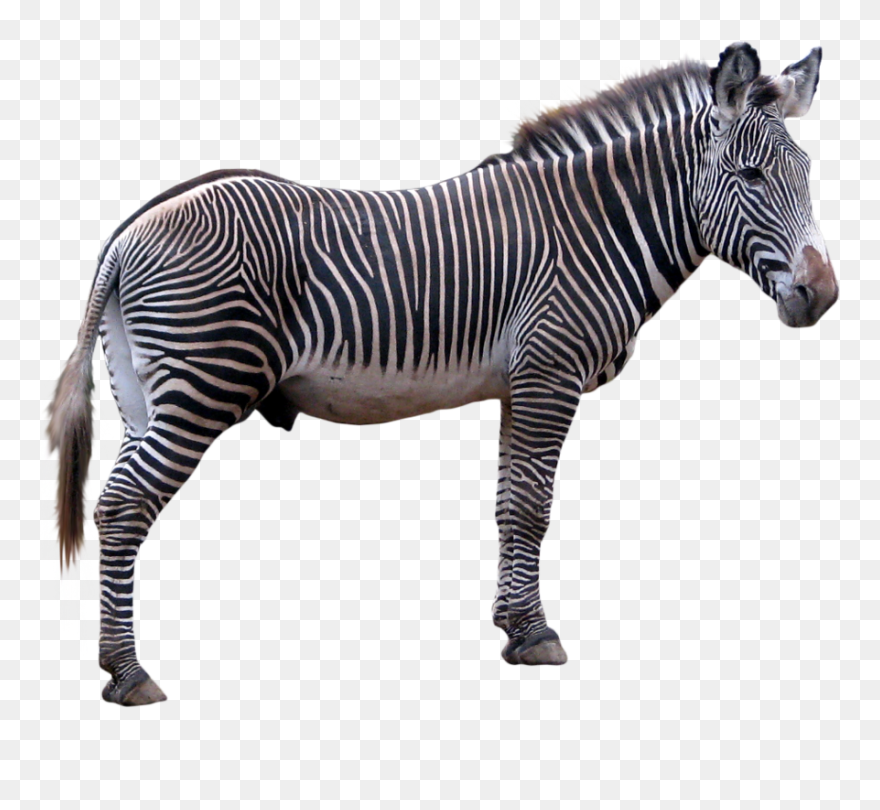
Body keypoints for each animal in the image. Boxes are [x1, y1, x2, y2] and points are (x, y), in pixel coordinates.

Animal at [48, 43, 838, 705]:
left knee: (116, 503)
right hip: (202, 387)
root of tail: (129, 231)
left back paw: (116, 664)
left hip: (142, 397)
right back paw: (129, 674)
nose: (822, 295)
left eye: (807, 177)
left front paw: (513, 627)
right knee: (124, 507)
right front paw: (538, 636)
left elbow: (508, 506)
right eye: (751, 175)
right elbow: (533, 507)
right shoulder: (551, 373)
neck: (598, 227)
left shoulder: (522, 383)